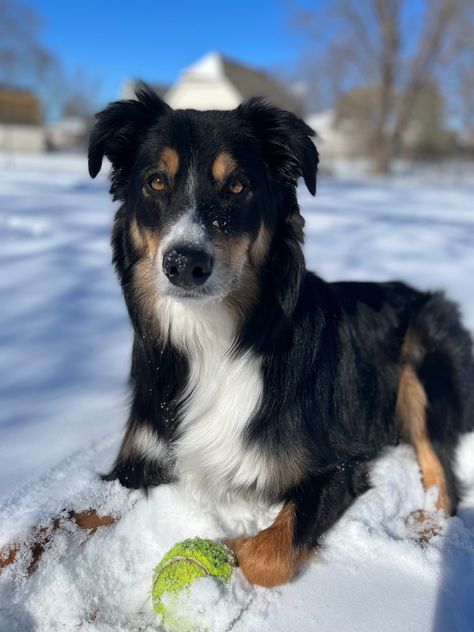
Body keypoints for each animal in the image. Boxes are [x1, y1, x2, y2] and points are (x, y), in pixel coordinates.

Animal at [87, 85, 472, 588]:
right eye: (154, 182)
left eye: (237, 186)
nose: (185, 264)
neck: (213, 337)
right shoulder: (138, 458)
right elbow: (81, 514)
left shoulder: (336, 466)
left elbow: (265, 555)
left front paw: (228, 547)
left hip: (424, 348)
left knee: (441, 474)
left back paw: (425, 526)